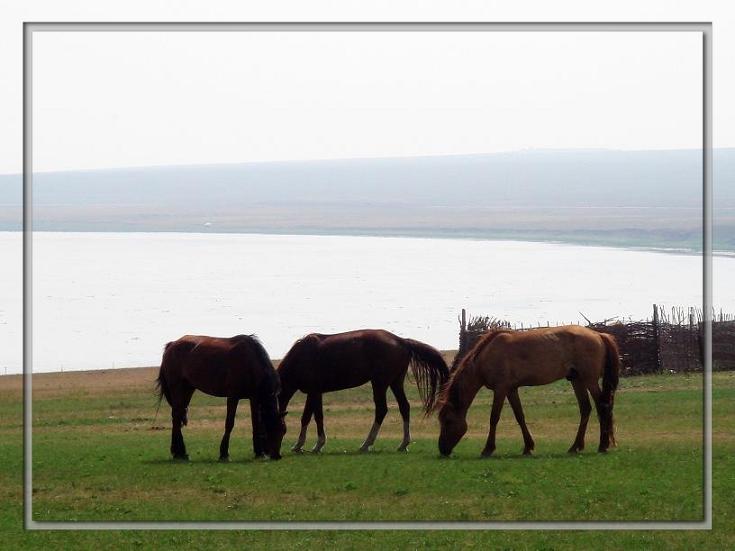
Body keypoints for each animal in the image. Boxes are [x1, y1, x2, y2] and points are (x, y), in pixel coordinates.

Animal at [156, 336, 288, 462]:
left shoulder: (254, 398)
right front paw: (224, 453)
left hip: (187, 389)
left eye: (283, 431)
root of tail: (171, 345)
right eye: (273, 429)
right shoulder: (233, 397)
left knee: (177, 416)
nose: (277, 456)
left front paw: (259, 453)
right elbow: (229, 423)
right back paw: (180, 453)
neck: (250, 362)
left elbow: (256, 423)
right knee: (176, 417)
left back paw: (179, 452)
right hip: (178, 388)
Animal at [276, 330, 448, 454]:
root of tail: (401, 341)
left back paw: (366, 444)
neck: (302, 356)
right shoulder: (315, 393)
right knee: (404, 407)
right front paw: (308, 444)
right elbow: (313, 416)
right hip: (395, 383)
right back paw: (403, 444)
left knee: (381, 410)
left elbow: (311, 417)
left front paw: (308, 445)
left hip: (380, 383)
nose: (274, 452)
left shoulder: (314, 391)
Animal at [436, 326, 620, 460]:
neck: (486, 356)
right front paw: (528, 447)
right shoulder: (511, 390)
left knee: (602, 407)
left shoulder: (500, 389)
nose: (442, 450)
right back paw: (575, 446)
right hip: (577, 380)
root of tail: (598, 334)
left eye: (447, 421)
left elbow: (494, 418)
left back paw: (602, 445)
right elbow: (520, 416)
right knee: (586, 409)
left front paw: (488, 449)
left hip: (589, 380)